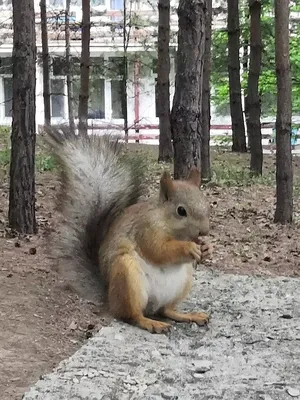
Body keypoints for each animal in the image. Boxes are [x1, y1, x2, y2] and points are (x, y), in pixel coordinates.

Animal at [45, 128, 212, 334]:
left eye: (206, 204)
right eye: (181, 211)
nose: (204, 231)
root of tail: (109, 296)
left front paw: (207, 248)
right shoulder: (145, 229)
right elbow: (159, 250)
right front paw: (188, 247)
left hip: (182, 283)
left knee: (166, 310)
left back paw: (188, 315)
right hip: (127, 276)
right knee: (131, 315)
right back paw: (151, 323)